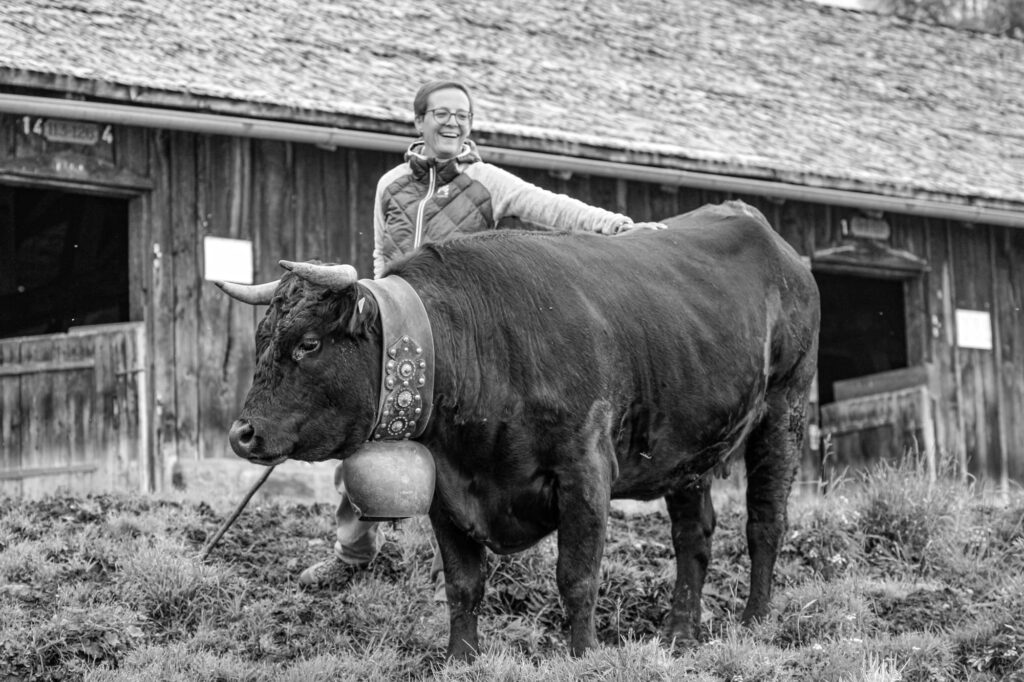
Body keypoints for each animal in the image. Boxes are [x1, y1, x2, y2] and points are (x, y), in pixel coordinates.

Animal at [218, 200, 820, 660]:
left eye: (308, 343)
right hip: (687, 448)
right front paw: (460, 659)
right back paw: (677, 634)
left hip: (783, 411)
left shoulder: (585, 471)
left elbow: (576, 576)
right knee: (692, 536)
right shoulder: (447, 489)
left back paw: (755, 621)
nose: (241, 433)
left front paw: (583, 656)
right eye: (262, 337)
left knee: (765, 522)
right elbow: (463, 584)